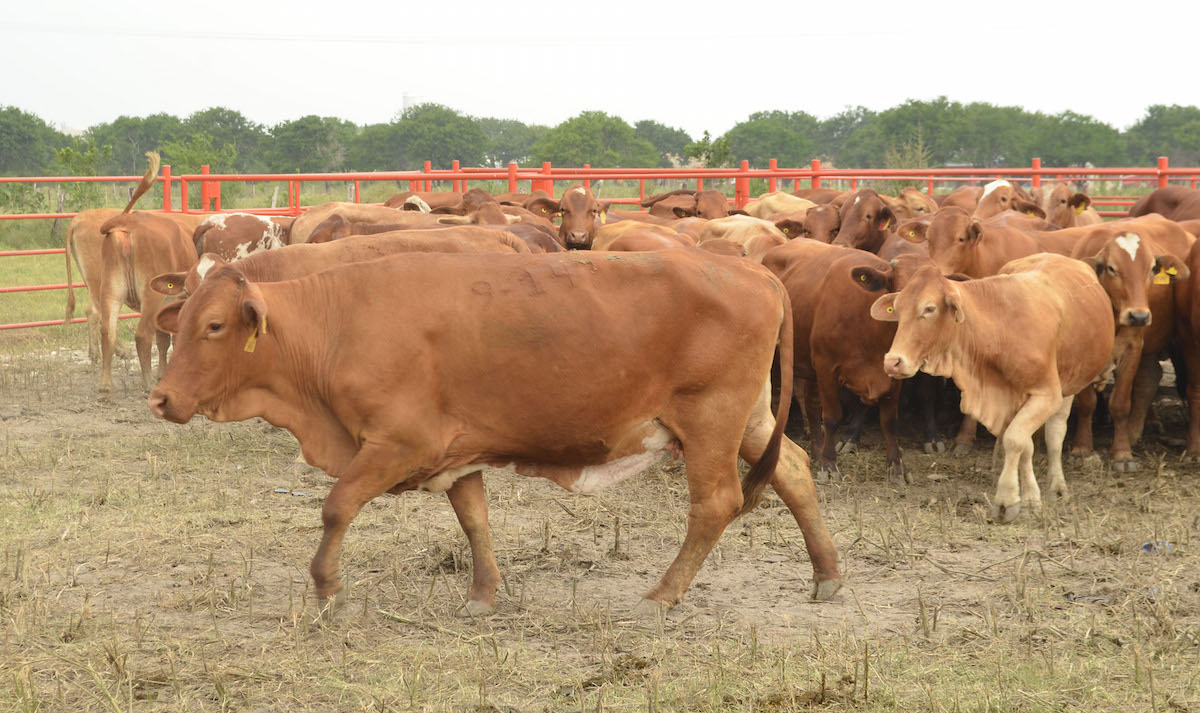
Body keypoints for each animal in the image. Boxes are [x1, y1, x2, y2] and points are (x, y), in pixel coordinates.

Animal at [147, 249, 844, 609]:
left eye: (213, 326)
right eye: (182, 320)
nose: (161, 398)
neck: (337, 322)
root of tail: (755, 271)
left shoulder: (398, 444)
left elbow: (336, 506)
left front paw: (326, 589)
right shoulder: (457, 451)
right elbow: (474, 519)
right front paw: (484, 593)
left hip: (708, 423)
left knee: (716, 503)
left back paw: (662, 595)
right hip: (748, 420)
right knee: (794, 472)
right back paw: (827, 575)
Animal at [873, 252, 1113, 518]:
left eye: (929, 308)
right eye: (898, 308)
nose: (893, 362)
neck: (1000, 328)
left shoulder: (1047, 395)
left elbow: (1016, 439)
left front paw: (1009, 500)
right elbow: (1023, 444)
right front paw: (1027, 495)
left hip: (1070, 383)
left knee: (1055, 432)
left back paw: (1057, 486)